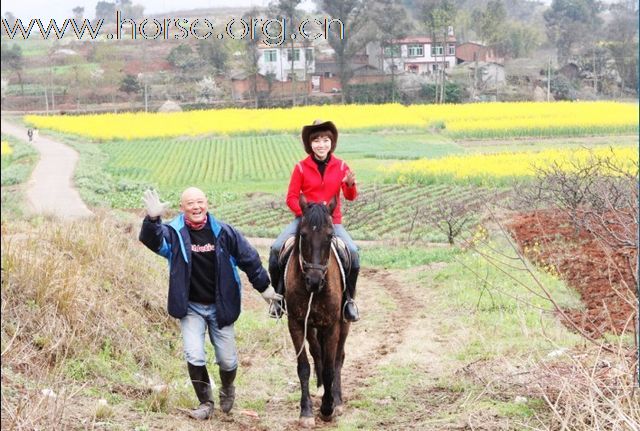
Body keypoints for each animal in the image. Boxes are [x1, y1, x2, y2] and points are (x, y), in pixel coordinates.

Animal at [284, 197, 352, 428]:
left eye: (330, 236)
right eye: (303, 235)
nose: (314, 281)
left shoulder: (332, 325)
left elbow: (331, 366)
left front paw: (328, 407)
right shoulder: (296, 324)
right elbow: (304, 367)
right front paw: (306, 412)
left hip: (344, 323)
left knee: (338, 358)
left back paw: (337, 400)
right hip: (312, 327)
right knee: (317, 354)